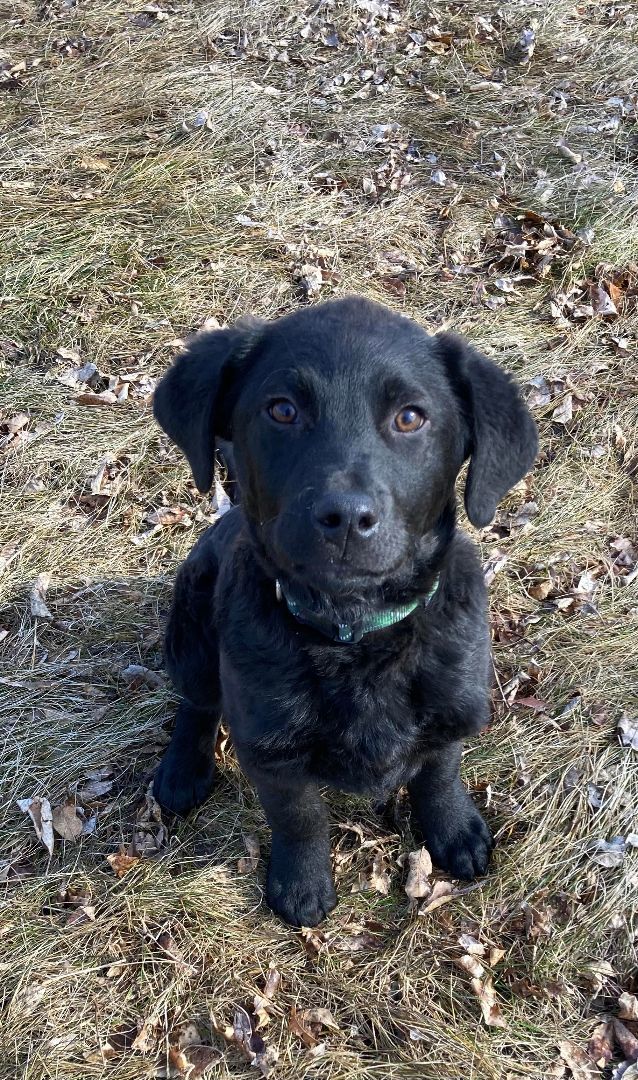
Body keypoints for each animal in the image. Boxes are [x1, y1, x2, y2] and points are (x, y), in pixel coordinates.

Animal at [152, 298, 537, 928]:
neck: (352, 634)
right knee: (198, 702)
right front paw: (301, 883)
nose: (346, 518)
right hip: (191, 619)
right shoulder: (271, 752)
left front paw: (454, 829)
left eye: (410, 418)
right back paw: (183, 768)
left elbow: (439, 773)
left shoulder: (452, 710)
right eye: (282, 410)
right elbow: (300, 817)